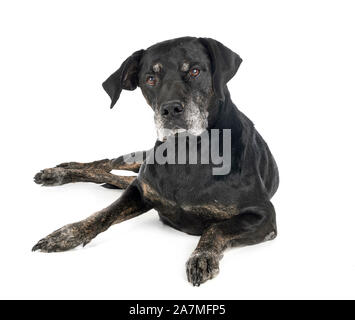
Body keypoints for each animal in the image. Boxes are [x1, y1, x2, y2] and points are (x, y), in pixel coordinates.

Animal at [33, 37, 280, 284]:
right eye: (150, 79)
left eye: (195, 71)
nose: (170, 109)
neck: (187, 152)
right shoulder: (141, 191)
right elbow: (106, 212)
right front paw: (67, 233)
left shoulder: (263, 215)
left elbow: (217, 228)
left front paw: (202, 256)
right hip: (135, 160)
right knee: (105, 164)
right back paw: (57, 173)